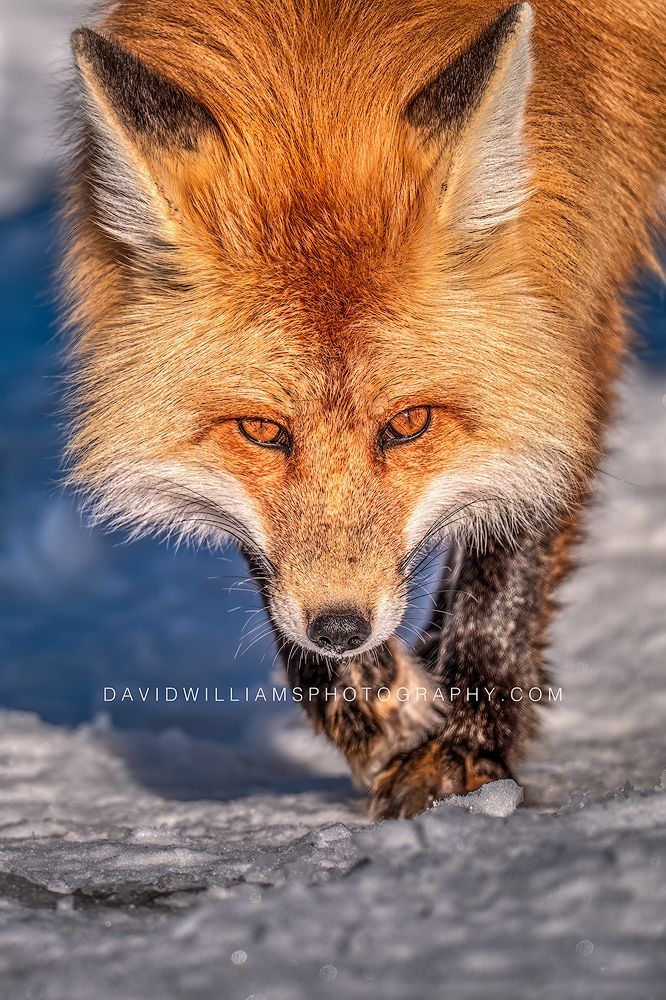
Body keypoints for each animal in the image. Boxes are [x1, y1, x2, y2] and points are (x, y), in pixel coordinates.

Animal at [62, 0, 665, 818]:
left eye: (409, 425)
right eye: (261, 431)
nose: (343, 628)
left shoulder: (576, 309)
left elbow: (510, 552)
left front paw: (461, 748)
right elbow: (279, 581)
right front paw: (378, 708)